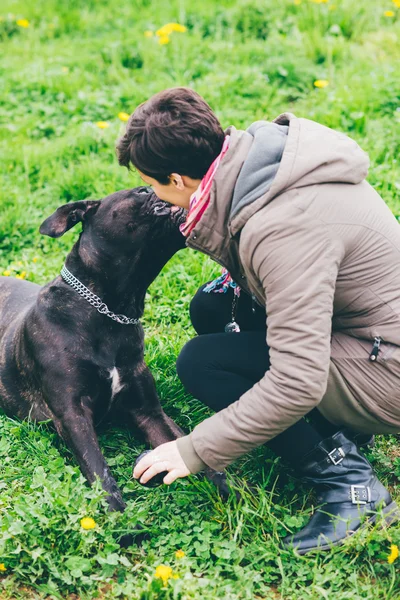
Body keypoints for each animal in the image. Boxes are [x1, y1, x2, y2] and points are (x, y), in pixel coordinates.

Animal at [0, 189, 228, 516]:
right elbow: (99, 470)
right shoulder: (73, 415)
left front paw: (233, 490)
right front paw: (119, 517)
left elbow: (181, 444)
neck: (108, 311)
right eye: (142, 191)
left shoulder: (148, 411)